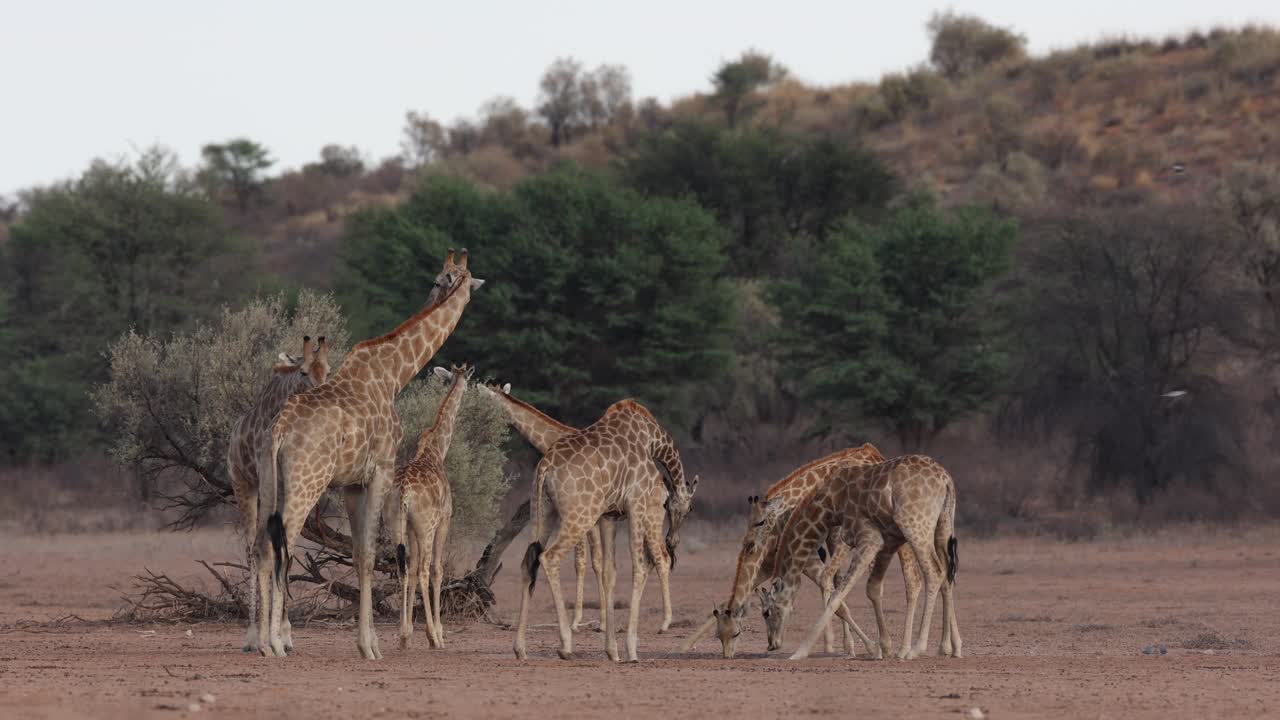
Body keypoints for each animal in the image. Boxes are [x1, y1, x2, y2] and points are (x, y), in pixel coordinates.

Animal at [226, 335, 329, 652]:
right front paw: (264, 635)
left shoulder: (288, 489)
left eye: (328, 370)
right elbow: (264, 551)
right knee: (251, 548)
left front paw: (286, 633)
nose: (322, 394)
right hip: (243, 486)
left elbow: (289, 552)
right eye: (304, 372)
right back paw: (251, 635)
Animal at [394, 363, 469, 650]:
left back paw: (403, 637)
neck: (437, 451)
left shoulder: (412, 527)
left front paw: (407, 634)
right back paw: (433, 638)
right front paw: (438, 633)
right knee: (426, 570)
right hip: (426, 528)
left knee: (404, 568)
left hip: (396, 523)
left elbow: (412, 568)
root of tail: (404, 491)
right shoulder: (444, 521)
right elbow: (437, 571)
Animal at [475, 382, 695, 633]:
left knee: (657, 557)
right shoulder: (597, 517)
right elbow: (596, 563)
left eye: (486, 398)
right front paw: (596, 621)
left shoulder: (595, 517)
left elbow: (589, 562)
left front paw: (586, 621)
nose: (674, 540)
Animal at [512, 399, 697, 662]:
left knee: (529, 562)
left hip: (542, 511)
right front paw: (632, 648)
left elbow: (611, 573)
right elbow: (640, 567)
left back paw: (520, 648)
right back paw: (565, 645)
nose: (673, 540)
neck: (653, 440)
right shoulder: (636, 504)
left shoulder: (609, 517)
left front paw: (612, 650)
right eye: (688, 508)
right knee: (549, 557)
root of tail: (545, 467)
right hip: (580, 515)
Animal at [763, 454, 961, 661]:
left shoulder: (868, 539)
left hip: (916, 527)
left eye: (767, 612)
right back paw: (948, 647)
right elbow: (872, 588)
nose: (771, 644)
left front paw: (801, 651)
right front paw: (884, 647)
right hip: (942, 526)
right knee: (946, 574)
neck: (831, 503)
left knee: (933, 573)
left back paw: (916, 649)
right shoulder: (886, 542)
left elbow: (837, 593)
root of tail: (946, 480)